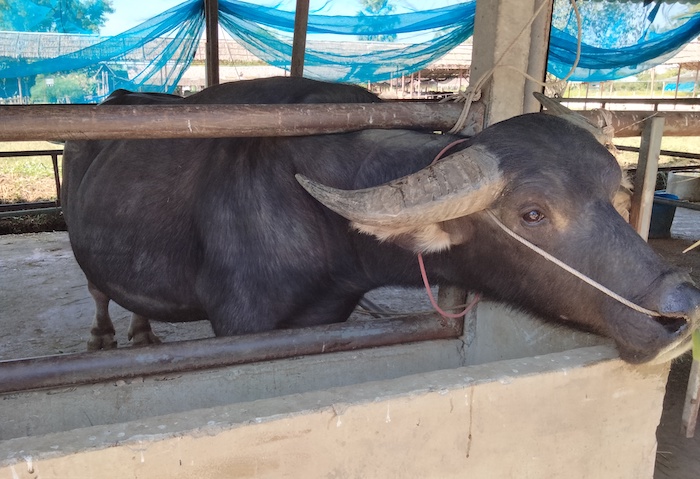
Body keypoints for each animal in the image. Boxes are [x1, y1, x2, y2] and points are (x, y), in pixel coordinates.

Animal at [62, 76, 700, 364]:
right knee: (95, 286)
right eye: (533, 213)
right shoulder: (241, 323)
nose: (681, 310)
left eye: (616, 196)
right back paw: (106, 335)